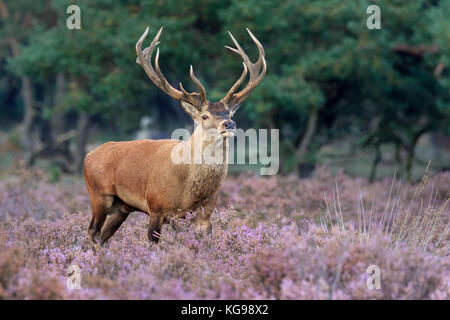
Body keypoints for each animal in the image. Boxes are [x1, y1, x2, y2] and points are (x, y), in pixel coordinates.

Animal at [83, 26, 266, 245]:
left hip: (121, 208)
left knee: (103, 237)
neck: (188, 192)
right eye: (204, 116)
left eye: (229, 113)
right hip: (99, 195)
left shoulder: (205, 214)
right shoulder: (156, 207)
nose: (229, 124)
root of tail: (88, 156)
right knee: (92, 232)